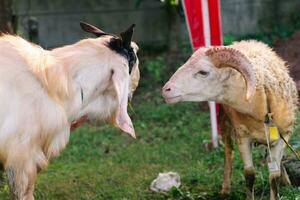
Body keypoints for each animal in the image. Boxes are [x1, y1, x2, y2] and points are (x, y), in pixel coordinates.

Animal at [162, 39, 298, 199]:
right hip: (224, 121)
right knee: (228, 152)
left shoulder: (285, 135)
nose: (165, 90)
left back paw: (287, 181)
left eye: (203, 72)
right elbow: (249, 174)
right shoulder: (242, 137)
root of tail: (243, 42)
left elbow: (273, 176)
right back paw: (225, 188)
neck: (261, 107)